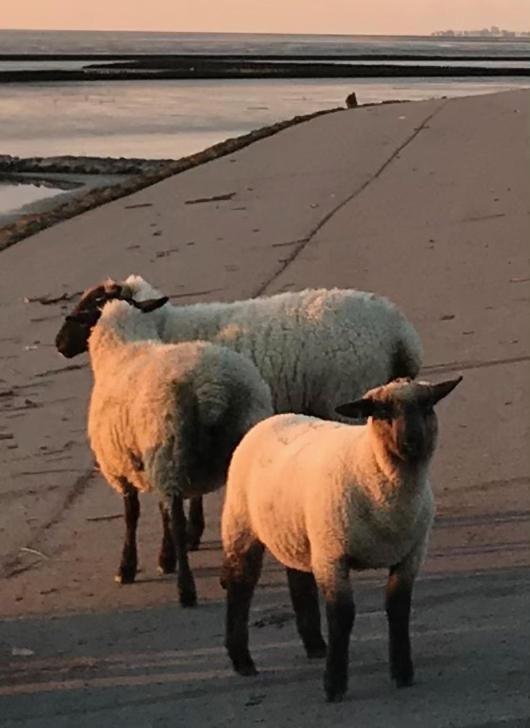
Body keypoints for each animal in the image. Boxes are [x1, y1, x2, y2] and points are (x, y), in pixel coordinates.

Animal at [55, 272, 422, 552]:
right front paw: (193, 532)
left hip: (347, 393)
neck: (159, 329)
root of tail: (399, 330)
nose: (59, 345)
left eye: (89, 310)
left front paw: (187, 535)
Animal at [55, 282, 272, 604]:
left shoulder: (122, 464)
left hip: (170, 451)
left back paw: (186, 588)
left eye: (85, 308)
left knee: (180, 522)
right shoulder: (148, 461)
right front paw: (164, 557)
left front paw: (128, 567)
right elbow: (160, 510)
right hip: (221, 445)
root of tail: (213, 389)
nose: (59, 344)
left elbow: (133, 515)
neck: (123, 347)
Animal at [219, 376, 458, 700]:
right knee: (240, 587)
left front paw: (402, 672)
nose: (413, 442)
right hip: (241, 524)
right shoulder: (333, 556)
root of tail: (274, 418)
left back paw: (316, 646)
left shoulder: (411, 555)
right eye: (382, 411)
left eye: (427, 405)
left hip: (300, 533)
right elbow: (342, 616)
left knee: (299, 579)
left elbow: (398, 609)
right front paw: (334, 684)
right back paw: (242, 660)